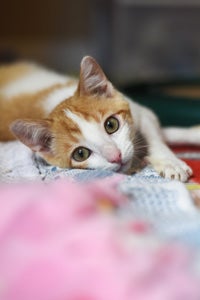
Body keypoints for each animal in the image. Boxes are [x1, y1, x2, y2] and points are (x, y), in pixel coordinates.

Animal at [0, 56, 194, 182]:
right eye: (80, 154)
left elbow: (157, 135)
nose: (116, 157)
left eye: (111, 124)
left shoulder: (142, 112)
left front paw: (171, 161)